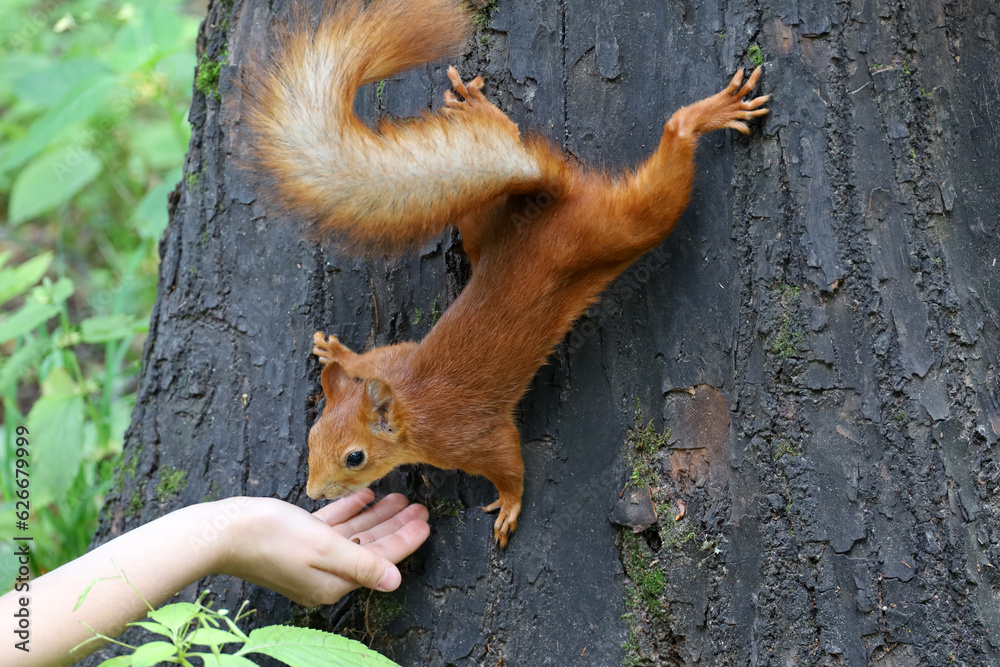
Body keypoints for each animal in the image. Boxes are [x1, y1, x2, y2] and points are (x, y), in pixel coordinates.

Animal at [242, 0, 769, 546]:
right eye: (313, 435)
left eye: (354, 457)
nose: (314, 492)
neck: (411, 405)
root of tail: (554, 202)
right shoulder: (398, 361)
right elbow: (380, 356)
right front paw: (339, 353)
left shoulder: (471, 436)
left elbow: (508, 463)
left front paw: (510, 507)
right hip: (481, 220)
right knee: (506, 146)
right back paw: (481, 112)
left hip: (619, 230)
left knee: (669, 150)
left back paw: (706, 115)